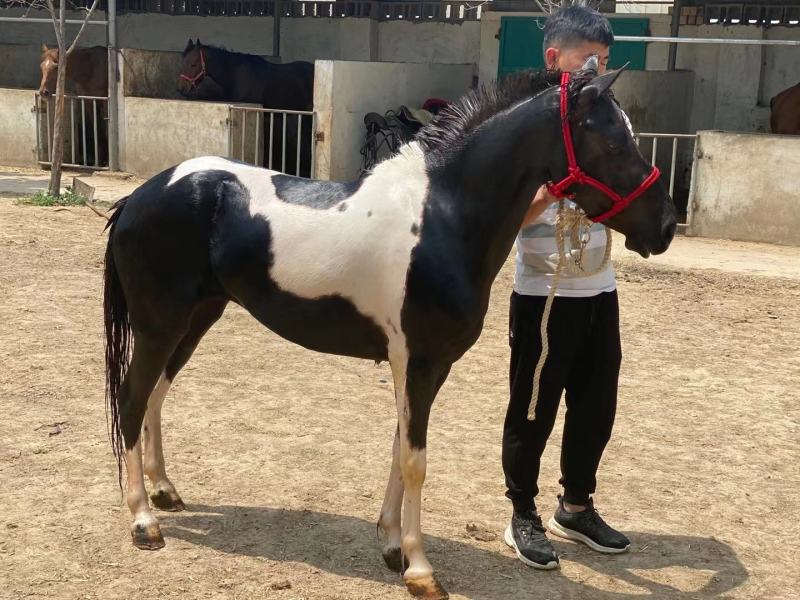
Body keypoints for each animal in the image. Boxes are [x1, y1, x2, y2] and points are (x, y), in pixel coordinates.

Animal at [103, 62, 676, 600]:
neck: (443, 217)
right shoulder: (417, 362)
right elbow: (416, 460)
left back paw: (164, 491)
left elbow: (401, 450)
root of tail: (139, 196)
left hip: (196, 319)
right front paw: (420, 570)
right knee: (131, 399)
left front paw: (392, 545)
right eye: (612, 140)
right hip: (160, 325)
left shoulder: (428, 366)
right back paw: (143, 520)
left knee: (155, 394)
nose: (666, 226)